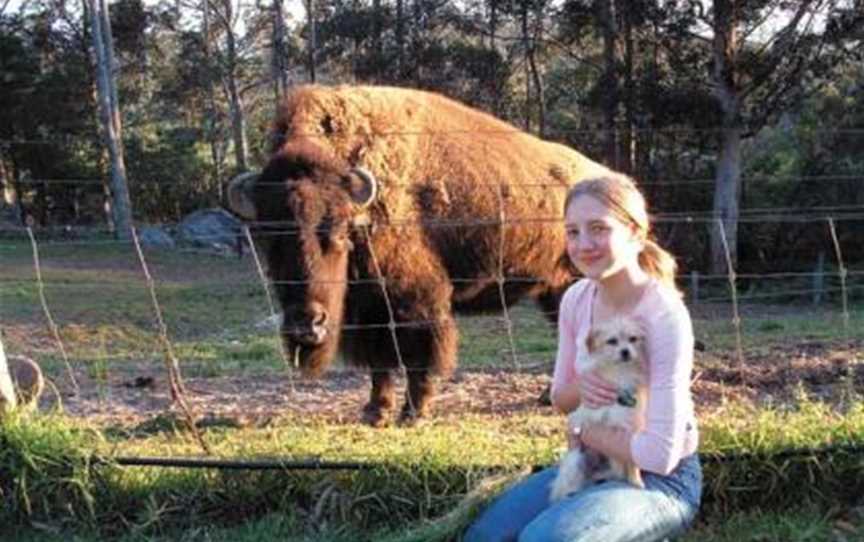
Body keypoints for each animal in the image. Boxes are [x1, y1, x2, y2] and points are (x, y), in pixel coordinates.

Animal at [226, 85, 612, 428]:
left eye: (339, 232)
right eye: (268, 238)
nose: (307, 325)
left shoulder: (416, 302)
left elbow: (418, 358)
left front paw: (414, 413)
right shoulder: (369, 311)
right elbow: (379, 364)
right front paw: (375, 413)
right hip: (555, 290)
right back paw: (549, 396)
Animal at [552, 316, 644, 504]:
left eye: (633, 339)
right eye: (612, 341)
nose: (625, 351)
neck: (619, 374)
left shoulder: (627, 426)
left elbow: (631, 461)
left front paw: (636, 480)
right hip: (576, 459)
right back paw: (571, 491)